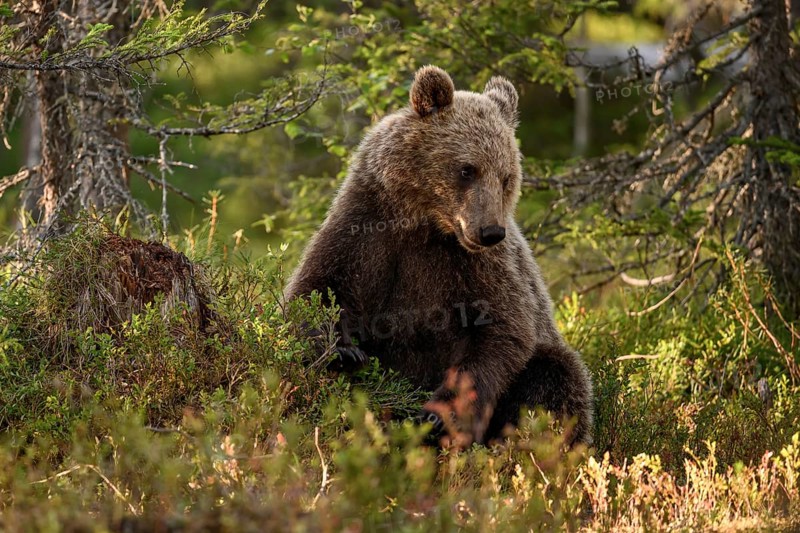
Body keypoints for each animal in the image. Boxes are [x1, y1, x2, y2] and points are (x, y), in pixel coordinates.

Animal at [285, 65, 593, 446]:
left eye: (506, 177)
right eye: (467, 169)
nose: (491, 231)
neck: (425, 223)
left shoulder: (482, 267)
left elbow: (502, 332)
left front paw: (437, 415)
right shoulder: (366, 228)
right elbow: (318, 287)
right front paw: (343, 352)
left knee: (557, 375)